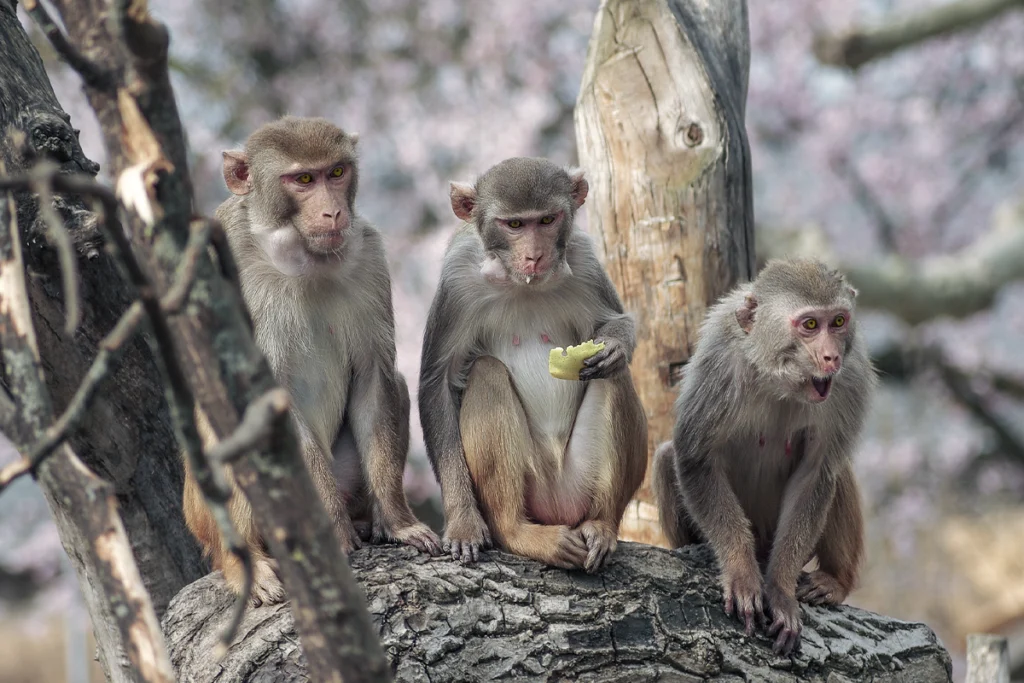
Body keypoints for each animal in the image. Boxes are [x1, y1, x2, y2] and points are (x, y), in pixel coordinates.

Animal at [184, 116, 440, 602]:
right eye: (303, 180)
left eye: (336, 173)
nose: (333, 213)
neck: (300, 260)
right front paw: (334, 537)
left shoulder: (368, 254)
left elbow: (375, 378)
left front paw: (397, 522)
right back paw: (245, 562)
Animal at [417, 154, 643, 573]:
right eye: (515, 225)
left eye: (547, 220)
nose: (535, 255)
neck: (519, 282)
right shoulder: (457, 281)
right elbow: (436, 383)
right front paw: (463, 522)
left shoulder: (585, 260)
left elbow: (615, 325)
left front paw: (615, 347)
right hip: (532, 486)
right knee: (486, 372)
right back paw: (518, 532)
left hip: (576, 484)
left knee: (613, 378)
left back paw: (602, 525)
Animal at [651, 259, 876, 655]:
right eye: (810, 325)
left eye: (838, 321)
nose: (831, 356)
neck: (779, 379)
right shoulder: (718, 362)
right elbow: (696, 457)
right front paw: (741, 571)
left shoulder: (850, 378)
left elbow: (814, 475)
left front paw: (781, 590)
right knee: (667, 457)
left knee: (836, 472)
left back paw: (835, 580)